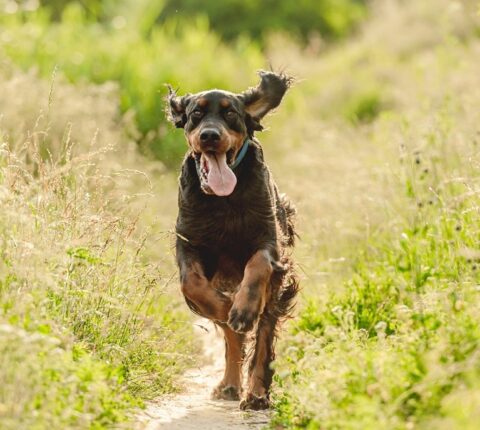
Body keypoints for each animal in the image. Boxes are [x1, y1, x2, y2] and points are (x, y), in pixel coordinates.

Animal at [167, 70, 298, 410]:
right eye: (195, 114)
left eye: (230, 114)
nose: (210, 136)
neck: (223, 199)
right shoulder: (189, 242)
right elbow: (192, 283)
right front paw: (226, 307)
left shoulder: (269, 241)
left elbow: (258, 265)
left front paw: (243, 310)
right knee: (231, 337)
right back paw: (229, 384)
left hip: (276, 292)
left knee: (263, 336)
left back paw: (256, 394)